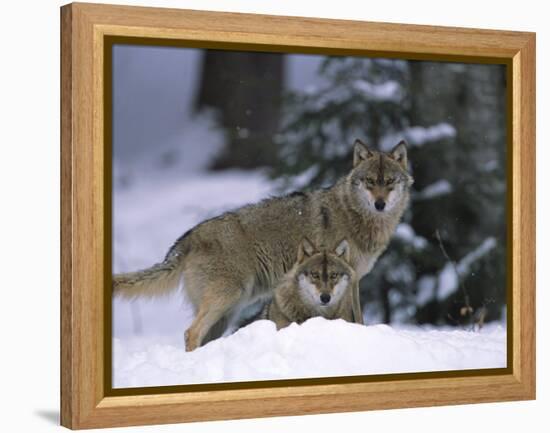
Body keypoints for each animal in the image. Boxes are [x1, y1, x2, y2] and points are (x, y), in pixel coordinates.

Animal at [113, 139, 414, 352]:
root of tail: (188, 237)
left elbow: (358, 318)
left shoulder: (353, 280)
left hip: (227, 312)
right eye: (370, 182)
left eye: (389, 182)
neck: (355, 216)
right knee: (191, 333)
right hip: (226, 299)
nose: (380, 204)